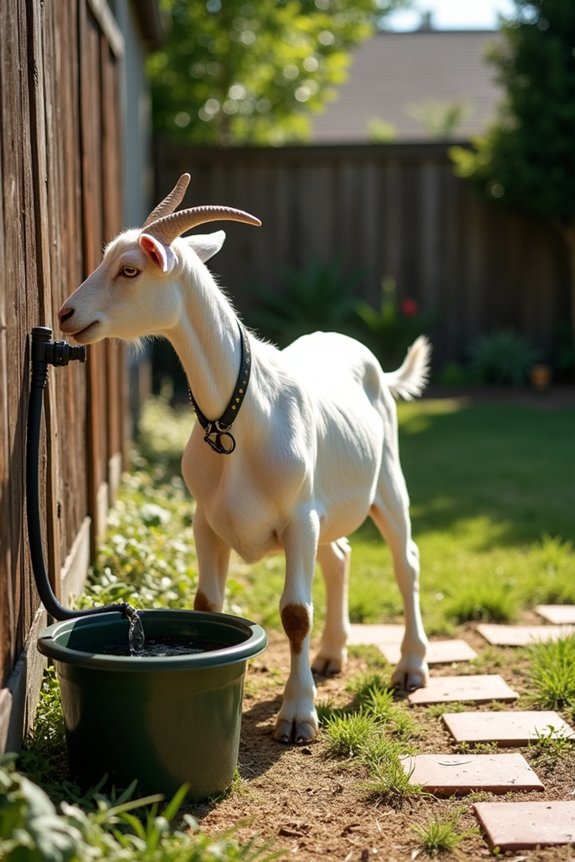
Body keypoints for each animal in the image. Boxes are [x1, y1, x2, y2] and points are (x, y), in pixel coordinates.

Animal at [59, 173, 430, 744]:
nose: (66, 314)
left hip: (386, 482)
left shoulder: (298, 516)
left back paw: (411, 666)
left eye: (130, 269)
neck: (237, 415)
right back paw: (330, 655)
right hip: (326, 509)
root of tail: (374, 367)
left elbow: (295, 613)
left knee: (404, 560)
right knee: (340, 557)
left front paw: (297, 716)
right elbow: (207, 605)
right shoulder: (207, 520)